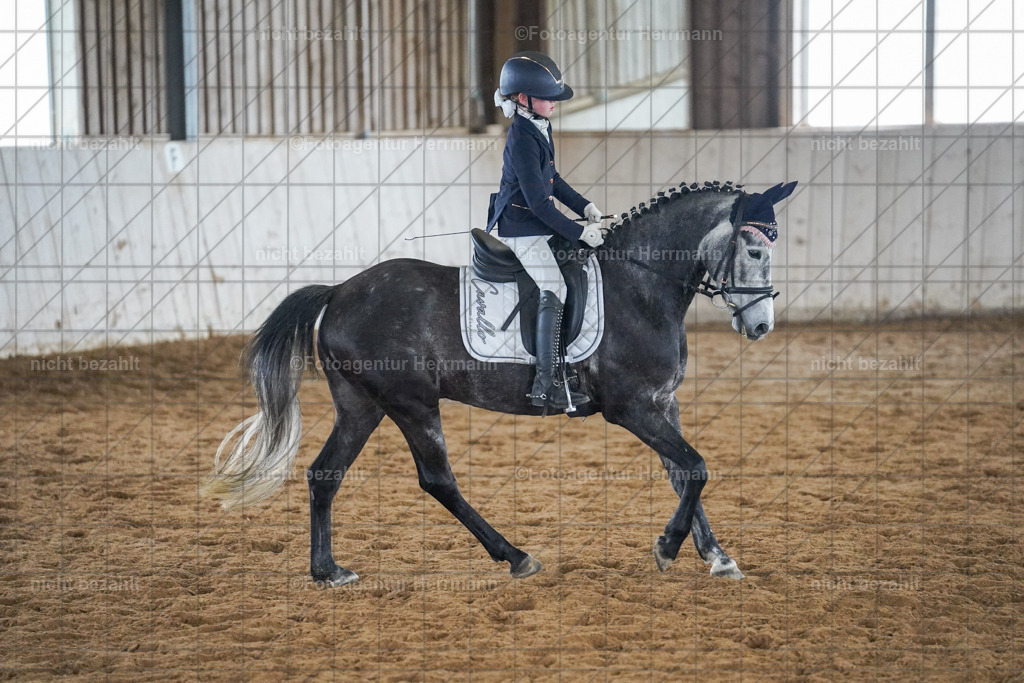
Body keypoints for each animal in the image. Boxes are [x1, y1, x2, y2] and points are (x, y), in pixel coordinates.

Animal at [203, 179, 798, 587]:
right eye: (754, 251)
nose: (761, 327)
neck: (642, 283)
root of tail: (340, 290)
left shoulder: (662, 404)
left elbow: (681, 472)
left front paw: (716, 555)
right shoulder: (632, 408)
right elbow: (696, 466)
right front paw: (669, 548)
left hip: (361, 405)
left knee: (326, 474)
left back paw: (328, 571)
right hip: (411, 402)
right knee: (437, 480)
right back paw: (515, 556)